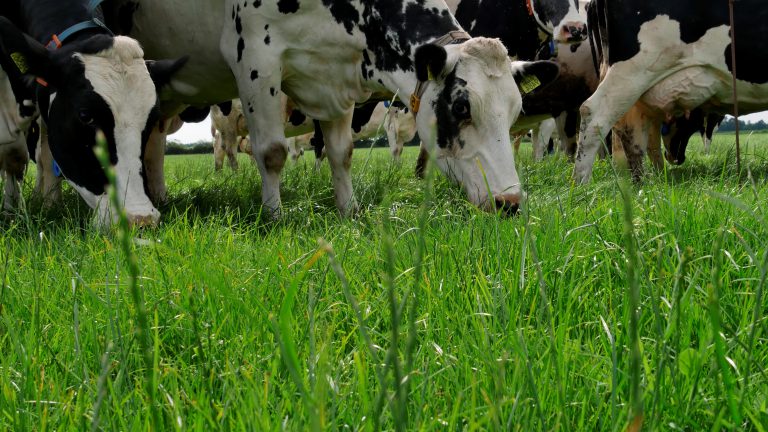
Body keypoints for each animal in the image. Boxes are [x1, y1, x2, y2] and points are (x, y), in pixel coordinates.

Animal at [105, 0, 560, 216]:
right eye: (462, 107)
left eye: (515, 111)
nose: (510, 202)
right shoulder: (254, 57)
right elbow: (271, 152)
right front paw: (274, 216)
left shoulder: (335, 76)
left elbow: (342, 154)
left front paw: (348, 210)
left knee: (154, 135)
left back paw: (158, 193)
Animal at [572, 0, 768, 183]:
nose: (677, 158)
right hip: (631, 70)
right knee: (594, 113)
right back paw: (581, 183)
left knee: (632, 131)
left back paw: (643, 181)